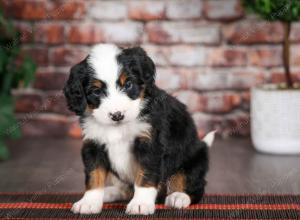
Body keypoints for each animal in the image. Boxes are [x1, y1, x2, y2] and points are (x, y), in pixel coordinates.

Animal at [63, 43, 214, 215]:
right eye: (96, 91)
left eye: (128, 84)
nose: (117, 115)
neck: (118, 128)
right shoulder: (93, 144)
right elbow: (94, 175)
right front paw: (89, 202)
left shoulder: (150, 144)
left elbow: (145, 176)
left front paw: (141, 204)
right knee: (126, 188)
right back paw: (111, 192)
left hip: (194, 159)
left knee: (193, 185)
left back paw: (178, 197)